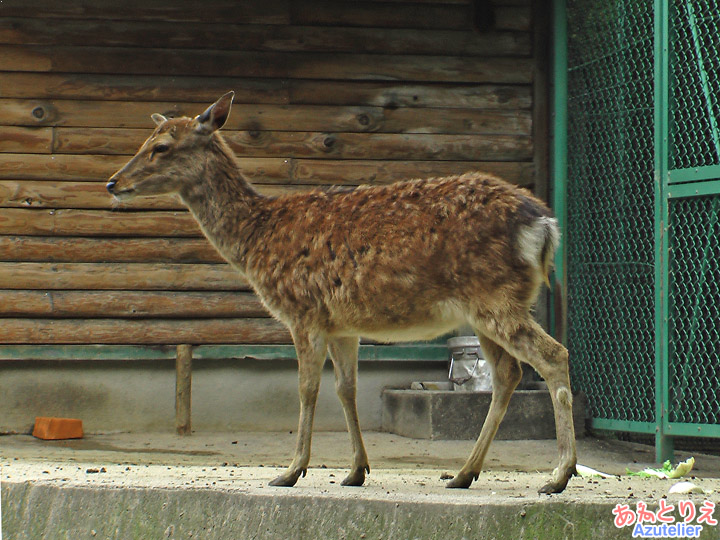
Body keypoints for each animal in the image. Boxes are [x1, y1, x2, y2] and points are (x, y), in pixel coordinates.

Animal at [108, 92, 580, 494]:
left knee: (554, 355)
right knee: (508, 375)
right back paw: (465, 474)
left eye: (161, 146)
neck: (257, 239)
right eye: (145, 140)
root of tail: (545, 226)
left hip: (495, 298)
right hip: (488, 308)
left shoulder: (302, 311)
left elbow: (307, 388)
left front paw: (291, 471)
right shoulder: (342, 324)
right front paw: (356, 471)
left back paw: (558, 474)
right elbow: (346, 389)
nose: (113, 182)